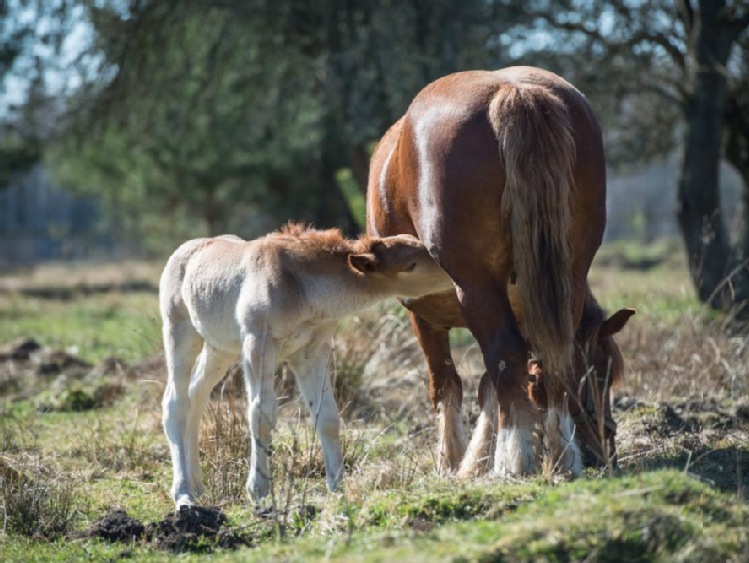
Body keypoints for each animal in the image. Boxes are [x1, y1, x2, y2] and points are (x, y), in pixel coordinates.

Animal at [159, 223, 452, 508]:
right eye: (411, 265)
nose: (453, 275)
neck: (301, 288)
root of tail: (184, 250)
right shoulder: (258, 344)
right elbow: (260, 414)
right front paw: (258, 491)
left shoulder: (313, 352)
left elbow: (328, 417)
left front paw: (337, 488)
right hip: (180, 332)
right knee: (176, 402)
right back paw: (183, 494)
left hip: (219, 348)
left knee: (197, 394)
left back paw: (197, 485)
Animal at [366, 66, 636, 480]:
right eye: (599, 375)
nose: (603, 452)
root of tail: (515, 92)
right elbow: (491, 385)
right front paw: (471, 458)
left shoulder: (425, 316)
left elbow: (451, 383)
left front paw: (456, 460)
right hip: (567, 279)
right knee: (555, 356)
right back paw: (562, 455)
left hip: (477, 288)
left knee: (504, 357)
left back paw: (514, 458)